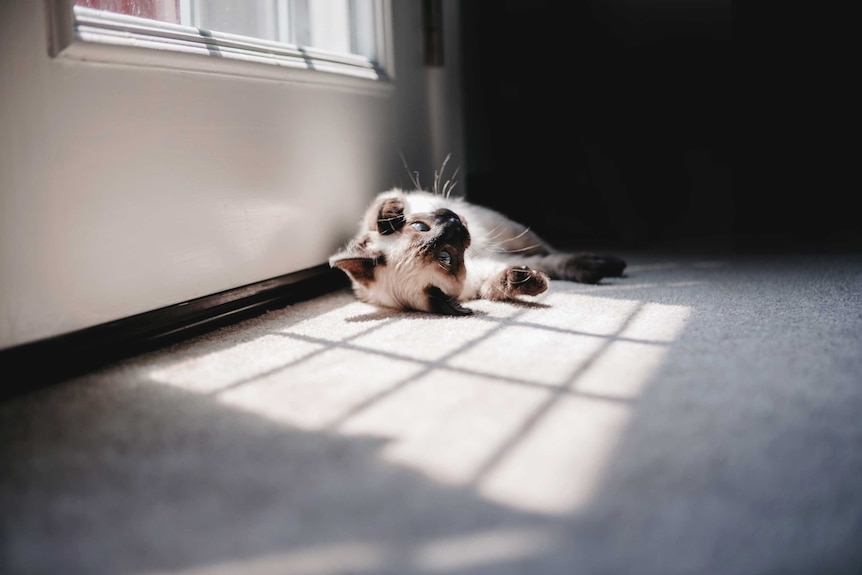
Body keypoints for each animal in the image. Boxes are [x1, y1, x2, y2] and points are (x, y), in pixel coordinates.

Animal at [330, 169, 628, 316]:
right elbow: (497, 286)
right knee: (550, 262)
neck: (474, 259)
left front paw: (391, 213)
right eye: (446, 258)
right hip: (515, 250)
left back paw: (613, 265)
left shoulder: (376, 211)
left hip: (511, 229)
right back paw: (599, 268)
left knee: (552, 251)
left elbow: (378, 212)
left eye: (419, 226)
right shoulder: (483, 279)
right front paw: (526, 282)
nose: (455, 223)